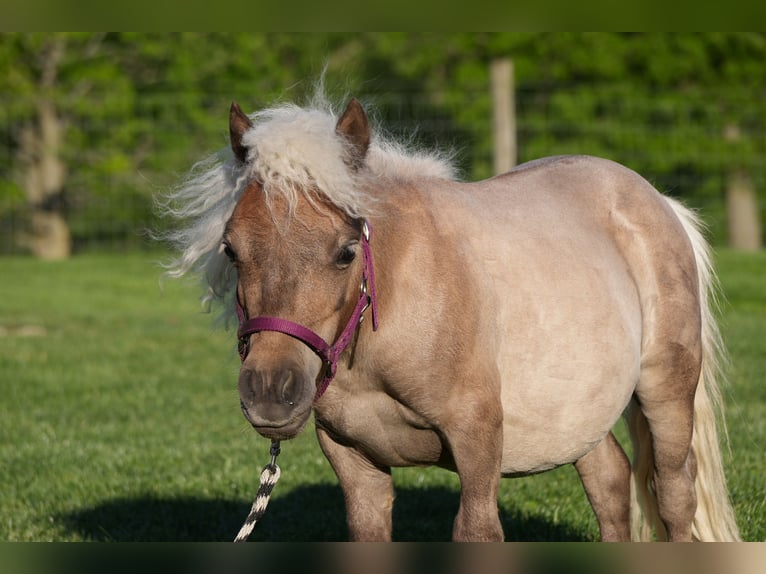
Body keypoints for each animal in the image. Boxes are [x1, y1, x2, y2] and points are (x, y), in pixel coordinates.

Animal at [161, 94, 740, 541]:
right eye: (232, 250)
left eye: (346, 252)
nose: (269, 392)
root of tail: (657, 199)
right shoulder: (354, 460)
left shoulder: (477, 442)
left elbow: (477, 529)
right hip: (580, 414)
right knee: (611, 483)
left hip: (665, 391)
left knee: (674, 493)